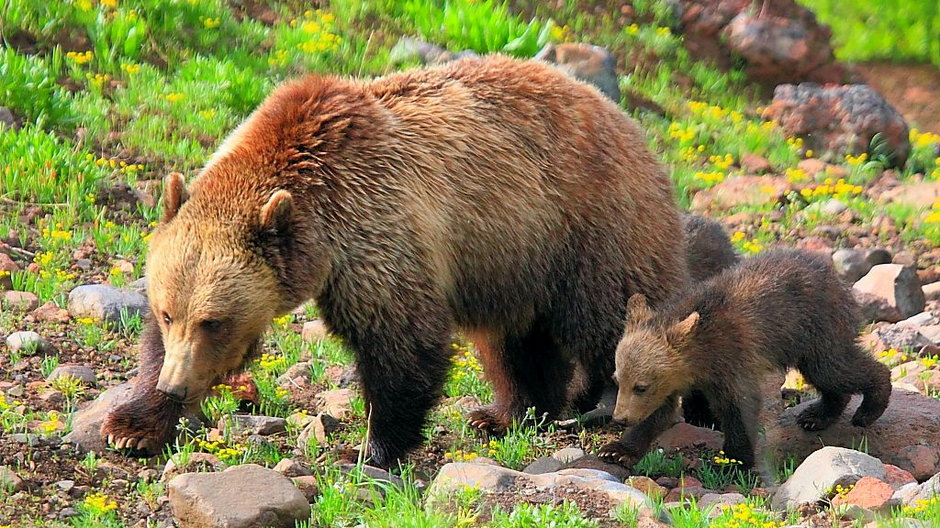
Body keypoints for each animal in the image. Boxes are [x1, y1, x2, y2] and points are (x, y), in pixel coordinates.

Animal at [103, 54, 688, 466]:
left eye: (214, 321)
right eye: (169, 313)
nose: (176, 384)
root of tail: (633, 127)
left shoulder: (376, 230)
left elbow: (400, 341)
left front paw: (370, 448)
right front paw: (133, 427)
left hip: (589, 230)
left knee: (614, 322)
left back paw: (623, 427)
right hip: (513, 261)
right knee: (515, 341)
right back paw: (507, 414)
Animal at [600, 250, 892, 468]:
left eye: (641, 386)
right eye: (617, 379)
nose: (620, 418)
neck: (700, 358)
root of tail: (833, 274)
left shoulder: (732, 357)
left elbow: (738, 407)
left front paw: (733, 461)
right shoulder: (676, 377)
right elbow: (658, 412)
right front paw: (617, 450)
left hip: (817, 325)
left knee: (835, 368)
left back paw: (868, 410)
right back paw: (817, 415)